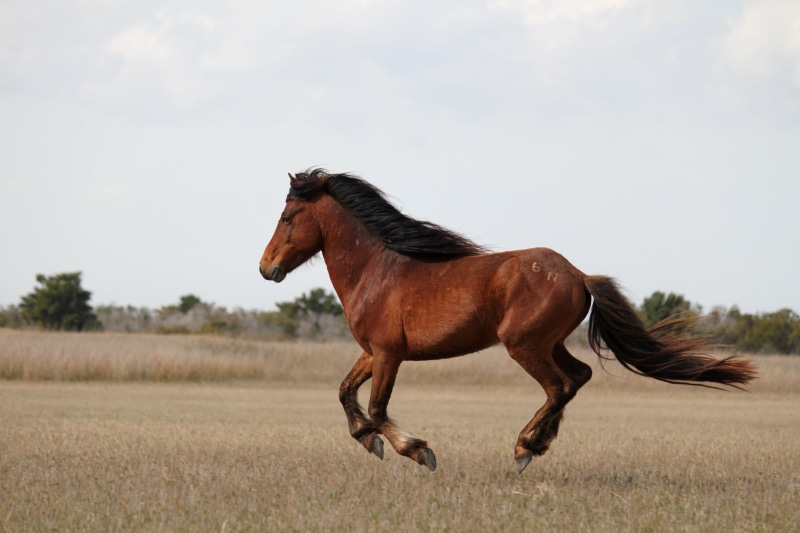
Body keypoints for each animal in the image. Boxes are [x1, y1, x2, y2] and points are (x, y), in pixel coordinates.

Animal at [258, 169, 757, 474]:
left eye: (286, 217)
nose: (266, 268)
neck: (377, 271)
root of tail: (578, 274)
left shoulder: (388, 354)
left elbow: (378, 407)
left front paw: (417, 451)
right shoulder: (371, 353)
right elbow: (345, 392)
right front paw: (368, 441)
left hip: (525, 345)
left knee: (559, 386)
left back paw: (524, 448)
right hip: (548, 343)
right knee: (578, 377)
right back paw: (538, 442)